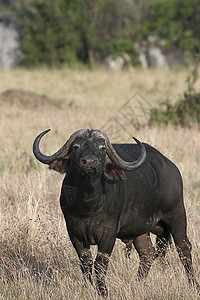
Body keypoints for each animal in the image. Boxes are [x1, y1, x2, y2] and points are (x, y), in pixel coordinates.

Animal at [32, 127, 198, 296]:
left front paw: (103, 292)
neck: (88, 204)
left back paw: (193, 284)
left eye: (102, 148)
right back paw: (138, 283)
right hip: (140, 230)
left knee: (183, 248)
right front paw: (90, 287)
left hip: (177, 215)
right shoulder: (73, 231)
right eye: (76, 147)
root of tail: (172, 169)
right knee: (147, 253)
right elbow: (85, 263)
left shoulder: (109, 233)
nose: (89, 162)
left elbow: (100, 263)